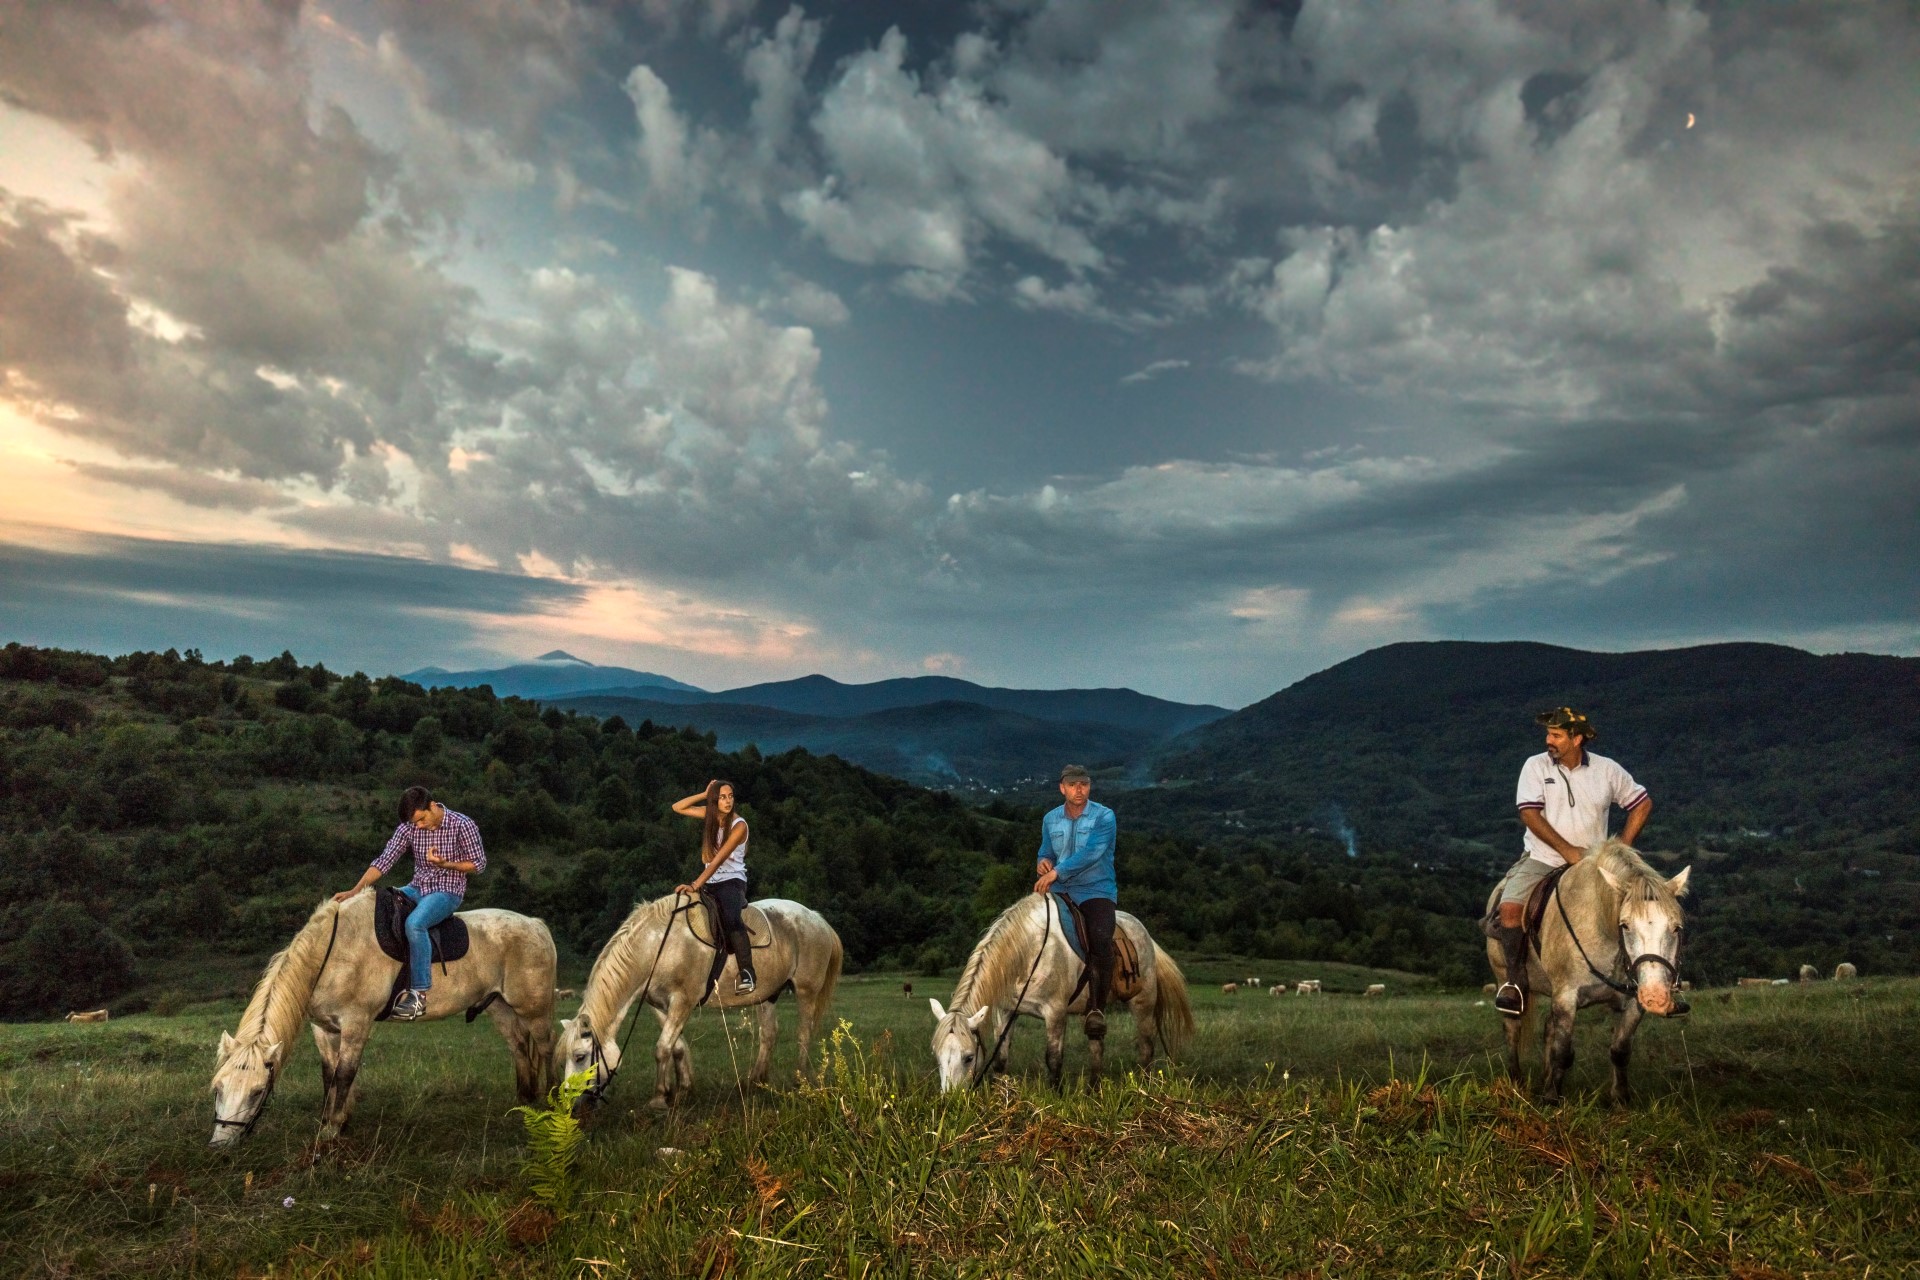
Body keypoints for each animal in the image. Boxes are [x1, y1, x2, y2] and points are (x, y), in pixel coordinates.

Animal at [211, 898, 556, 1143]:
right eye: (218, 1088)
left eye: (257, 1091)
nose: (222, 1143)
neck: (331, 955)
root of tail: (537, 925)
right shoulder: (323, 1028)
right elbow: (329, 1074)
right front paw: (331, 1120)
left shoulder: (356, 1023)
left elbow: (345, 1074)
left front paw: (333, 1129)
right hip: (500, 1007)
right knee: (519, 1047)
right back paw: (523, 1101)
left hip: (534, 1010)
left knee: (546, 1047)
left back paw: (553, 1100)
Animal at [556, 890, 840, 1113]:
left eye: (580, 1057)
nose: (569, 1104)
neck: (658, 945)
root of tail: (818, 919)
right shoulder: (659, 1005)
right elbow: (676, 1047)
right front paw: (682, 1090)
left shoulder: (683, 1001)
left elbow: (662, 1048)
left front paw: (659, 1098)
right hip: (767, 995)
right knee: (769, 1034)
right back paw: (754, 1081)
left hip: (806, 990)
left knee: (803, 1033)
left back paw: (799, 1080)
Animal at [925, 890, 1182, 1090]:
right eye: (936, 1056)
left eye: (969, 1057)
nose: (951, 1101)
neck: (1029, 951)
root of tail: (1145, 934)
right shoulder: (1006, 1012)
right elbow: (1001, 1059)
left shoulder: (1055, 1012)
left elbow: (1054, 1060)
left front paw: (1057, 1097)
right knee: (1097, 1046)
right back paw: (1093, 1091)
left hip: (1143, 1003)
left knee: (1146, 1048)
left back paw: (1143, 1089)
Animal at [1489, 840, 1689, 1105]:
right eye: (1625, 925)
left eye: (1676, 928)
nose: (1655, 996)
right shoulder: (1566, 996)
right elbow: (1562, 1052)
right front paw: (1551, 1099)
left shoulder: (1633, 1002)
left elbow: (1620, 1051)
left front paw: (1620, 1100)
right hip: (1506, 977)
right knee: (1512, 1029)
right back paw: (1516, 1084)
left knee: (1549, 1028)